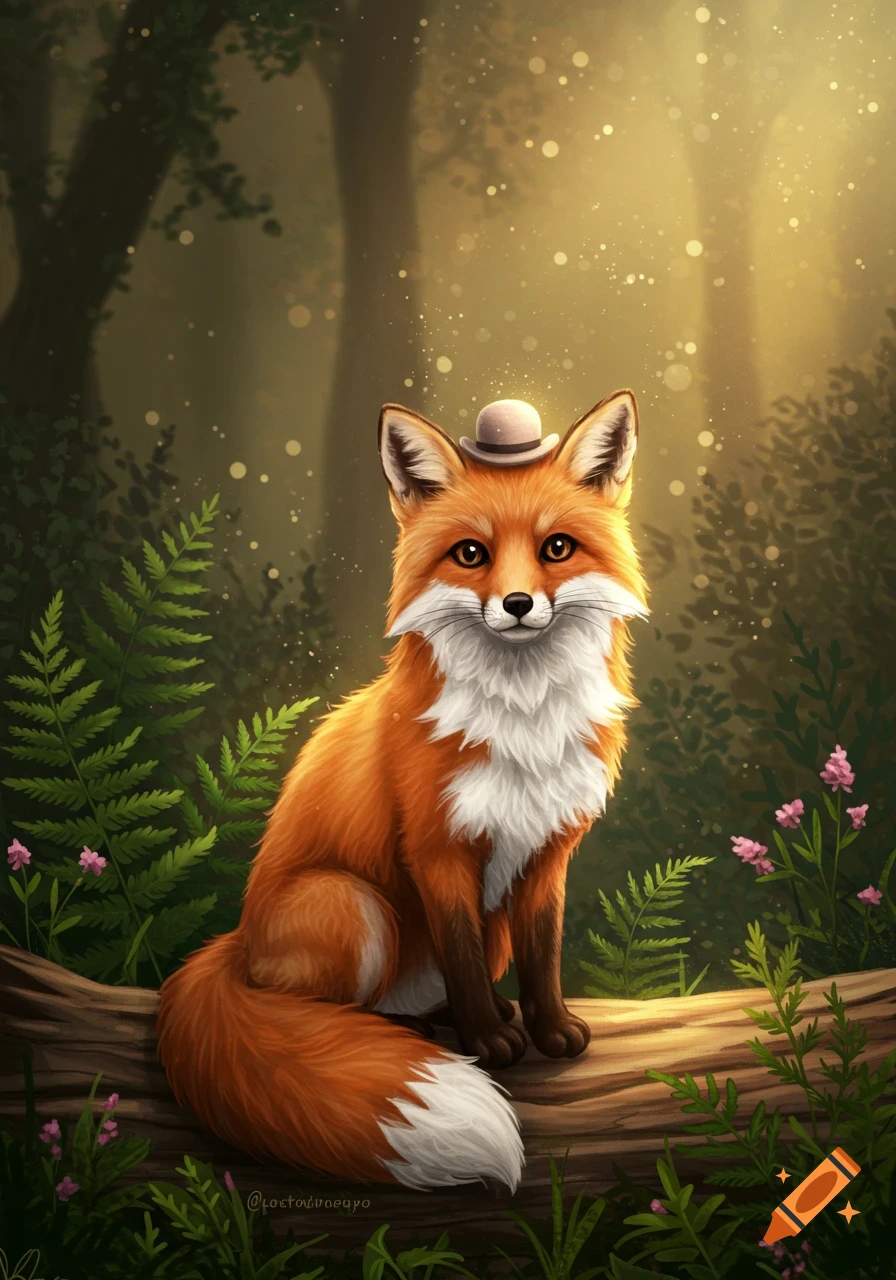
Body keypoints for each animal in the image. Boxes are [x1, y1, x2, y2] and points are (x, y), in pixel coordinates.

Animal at [156, 388, 648, 1194]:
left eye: (557, 548)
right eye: (471, 553)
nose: (518, 603)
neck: (523, 722)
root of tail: (236, 942)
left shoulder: (547, 850)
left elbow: (544, 956)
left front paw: (547, 1028)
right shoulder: (437, 848)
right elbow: (461, 957)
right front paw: (487, 1039)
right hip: (355, 906)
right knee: (309, 1011)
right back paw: (410, 1029)